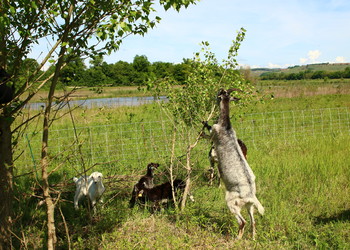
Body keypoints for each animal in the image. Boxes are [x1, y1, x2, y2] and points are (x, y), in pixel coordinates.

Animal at [208, 88, 262, 240]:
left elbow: (207, 133)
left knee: (242, 221)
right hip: (249, 206)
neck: (226, 126)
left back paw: (237, 238)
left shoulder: (213, 132)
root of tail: (250, 195)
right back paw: (253, 238)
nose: (216, 94)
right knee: (252, 221)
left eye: (219, 95)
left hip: (231, 202)